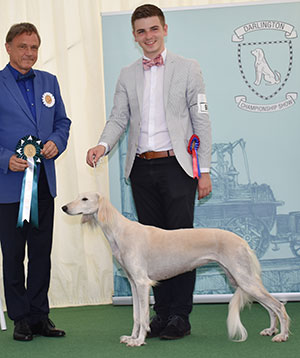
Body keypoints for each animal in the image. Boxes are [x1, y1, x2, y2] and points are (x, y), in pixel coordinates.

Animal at [61, 193, 290, 346]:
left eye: (84, 199)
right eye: (77, 197)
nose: (64, 207)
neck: (120, 231)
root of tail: (243, 240)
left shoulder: (143, 283)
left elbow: (143, 316)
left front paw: (139, 340)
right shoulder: (134, 283)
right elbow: (136, 315)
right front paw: (131, 337)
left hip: (245, 279)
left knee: (278, 305)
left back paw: (282, 334)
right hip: (240, 280)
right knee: (270, 306)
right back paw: (271, 330)